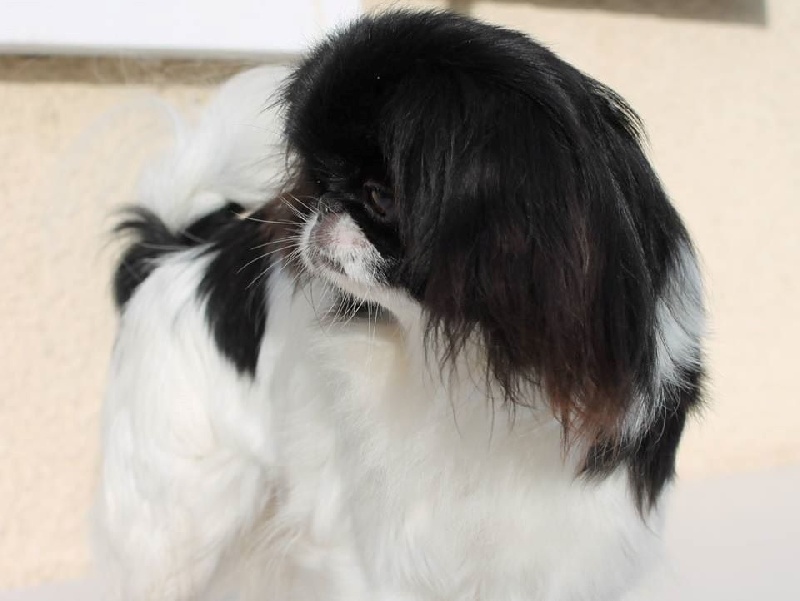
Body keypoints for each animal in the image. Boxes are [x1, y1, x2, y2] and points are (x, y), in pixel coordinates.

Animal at [94, 11, 705, 601]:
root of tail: (175, 251)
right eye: (318, 179)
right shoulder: (387, 552)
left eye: (380, 196)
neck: (478, 359)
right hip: (180, 515)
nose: (319, 209)